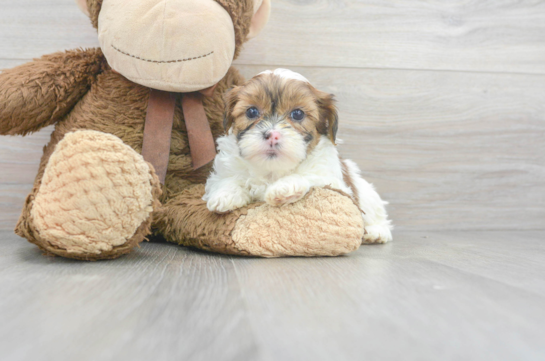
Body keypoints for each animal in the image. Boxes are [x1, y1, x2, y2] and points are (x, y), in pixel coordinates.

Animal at [203, 68, 392, 242]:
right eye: (251, 112)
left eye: (298, 114)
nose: (272, 135)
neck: (272, 170)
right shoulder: (225, 169)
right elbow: (228, 179)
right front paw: (224, 195)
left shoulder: (333, 181)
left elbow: (311, 177)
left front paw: (284, 188)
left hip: (367, 195)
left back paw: (376, 232)